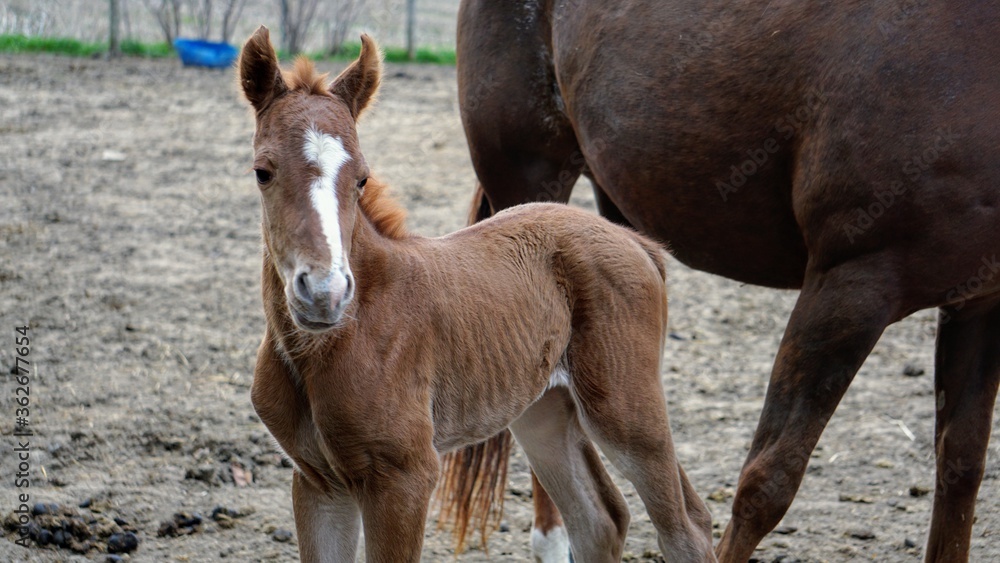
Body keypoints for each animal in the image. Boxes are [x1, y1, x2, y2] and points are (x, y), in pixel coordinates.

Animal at [237, 26, 716, 562]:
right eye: (262, 171)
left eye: (361, 177)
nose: (325, 292)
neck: (328, 345)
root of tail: (635, 241)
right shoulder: (318, 482)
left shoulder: (403, 477)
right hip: (543, 409)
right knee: (600, 519)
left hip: (624, 405)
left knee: (687, 525)